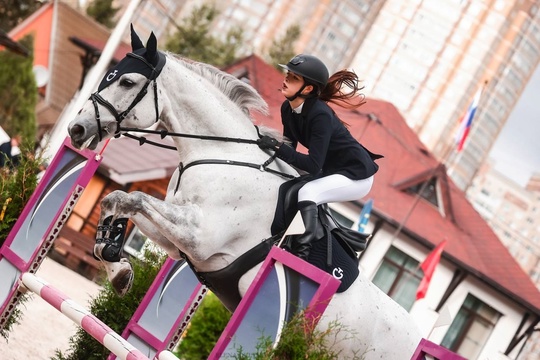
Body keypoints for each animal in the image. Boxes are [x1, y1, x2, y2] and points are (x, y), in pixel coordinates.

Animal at [67, 29, 422, 358]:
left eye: (127, 81)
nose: (76, 129)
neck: (220, 152)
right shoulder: (177, 242)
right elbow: (117, 200)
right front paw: (116, 264)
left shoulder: (200, 237)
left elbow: (135, 198)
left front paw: (118, 268)